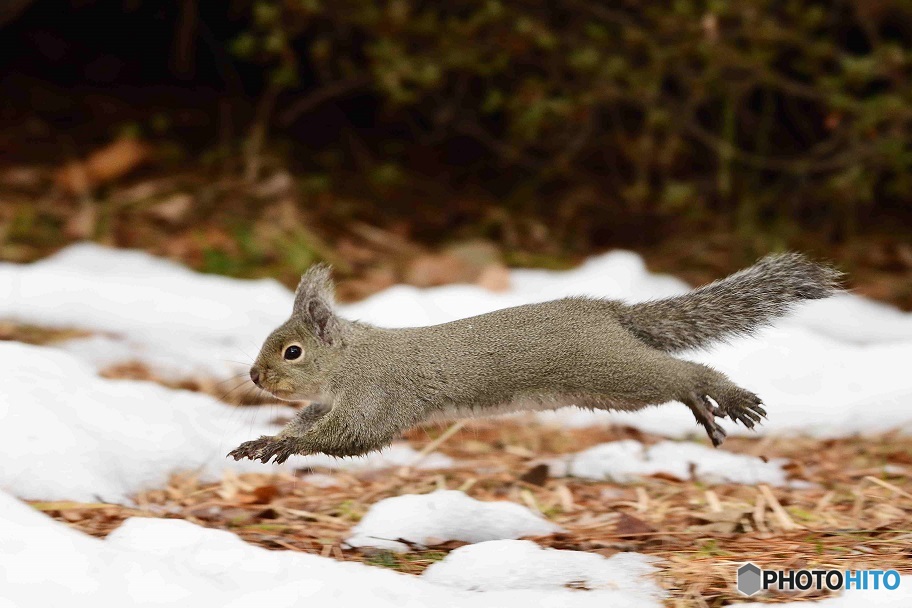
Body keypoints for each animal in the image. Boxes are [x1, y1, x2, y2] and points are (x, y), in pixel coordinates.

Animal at [228, 254, 840, 464]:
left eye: (292, 351)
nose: (255, 375)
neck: (350, 363)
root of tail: (608, 314)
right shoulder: (330, 402)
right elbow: (306, 423)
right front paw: (269, 440)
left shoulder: (378, 397)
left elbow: (350, 435)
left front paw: (286, 446)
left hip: (611, 371)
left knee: (684, 373)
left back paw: (724, 394)